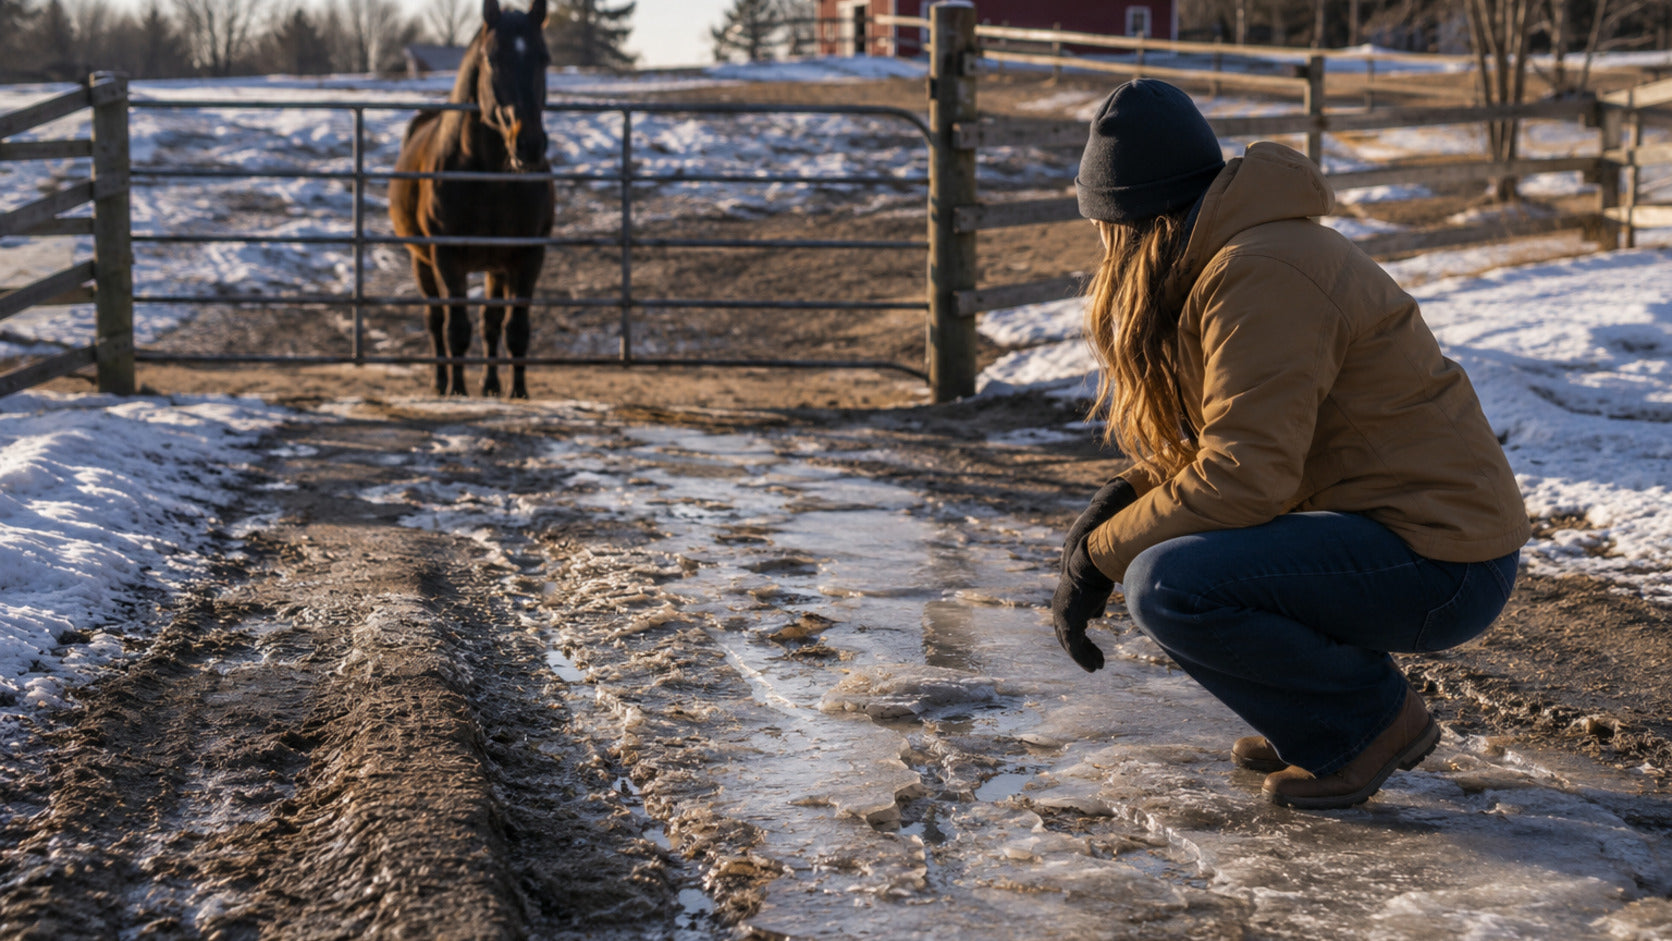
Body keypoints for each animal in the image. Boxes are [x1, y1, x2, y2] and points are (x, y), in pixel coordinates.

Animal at [389, 0, 556, 398]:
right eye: (493, 58)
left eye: (544, 58)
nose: (528, 145)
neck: (490, 178)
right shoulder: (446, 256)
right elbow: (457, 329)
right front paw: (458, 390)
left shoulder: (529, 256)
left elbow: (515, 329)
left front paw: (518, 392)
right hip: (422, 262)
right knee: (436, 320)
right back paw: (442, 382)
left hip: (495, 266)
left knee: (490, 322)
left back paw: (492, 384)